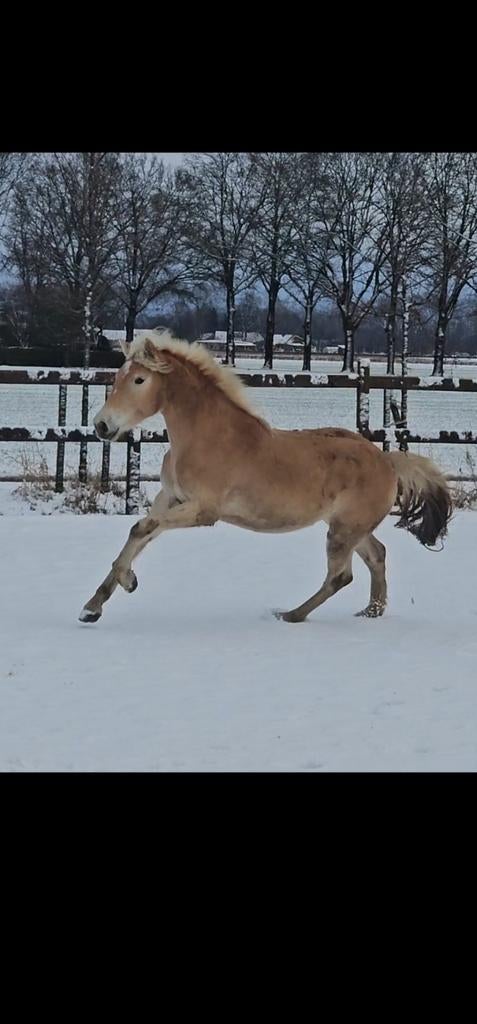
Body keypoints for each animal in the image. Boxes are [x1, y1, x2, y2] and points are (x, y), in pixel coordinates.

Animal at [79, 330, 452, 625]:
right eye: (117, 377)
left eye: (140, 380)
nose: (101, 426)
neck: (206, 437)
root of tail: (387, 461)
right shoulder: (170, 498)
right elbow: (140, 532)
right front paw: (94, 605)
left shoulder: (203, 511)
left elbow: (144, 528)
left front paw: (126, 582)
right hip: (349, 527)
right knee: (377, 555)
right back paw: (370, 613)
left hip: (344, 530)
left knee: (340, 576)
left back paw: (289, 615)